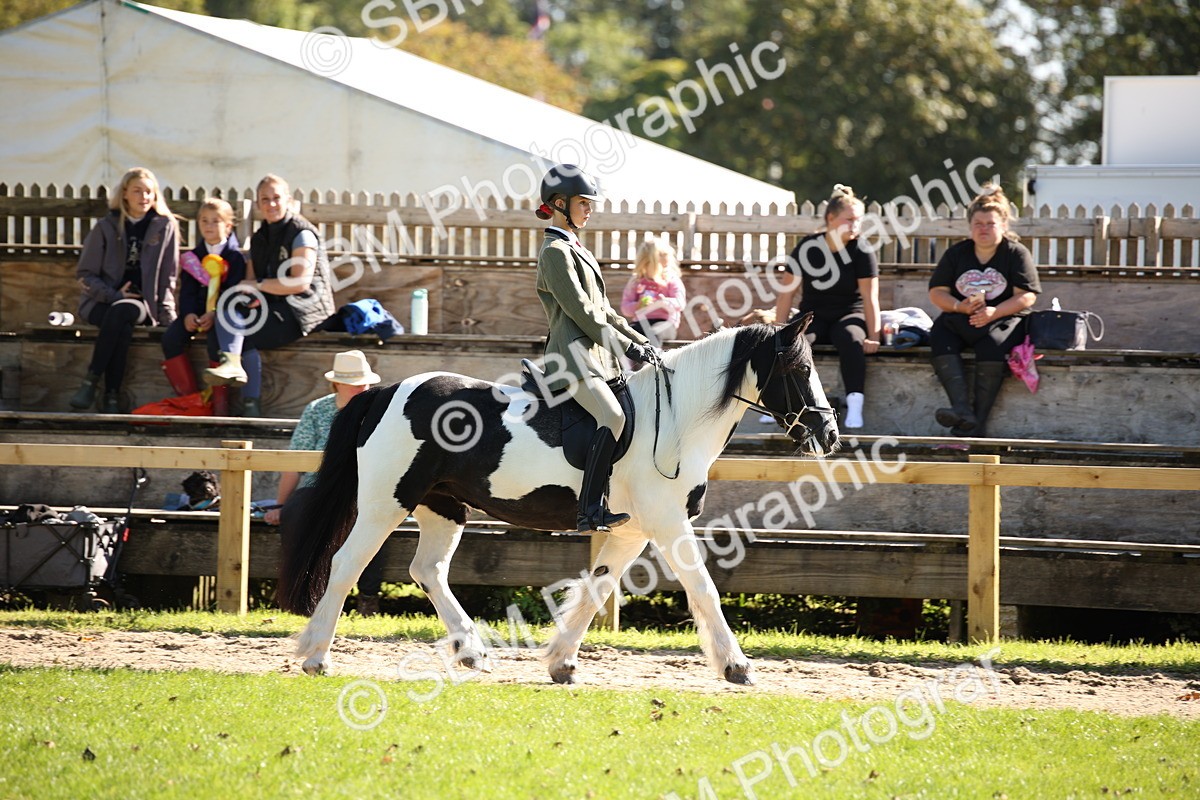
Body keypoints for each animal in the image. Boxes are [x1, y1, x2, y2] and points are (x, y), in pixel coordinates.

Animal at [277, 315, 839, 685]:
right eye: (798, 369)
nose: (829, 433)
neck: (676, 421)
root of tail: (388, 390)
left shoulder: (634, 529)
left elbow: (596, 588)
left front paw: (562, 663)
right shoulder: (666, 521)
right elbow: (703, 588)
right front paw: (736, 665)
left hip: (443, 506)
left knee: (428, 570)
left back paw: (472, 653)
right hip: (384, 503)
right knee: (346, 563)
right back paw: (316, 657)